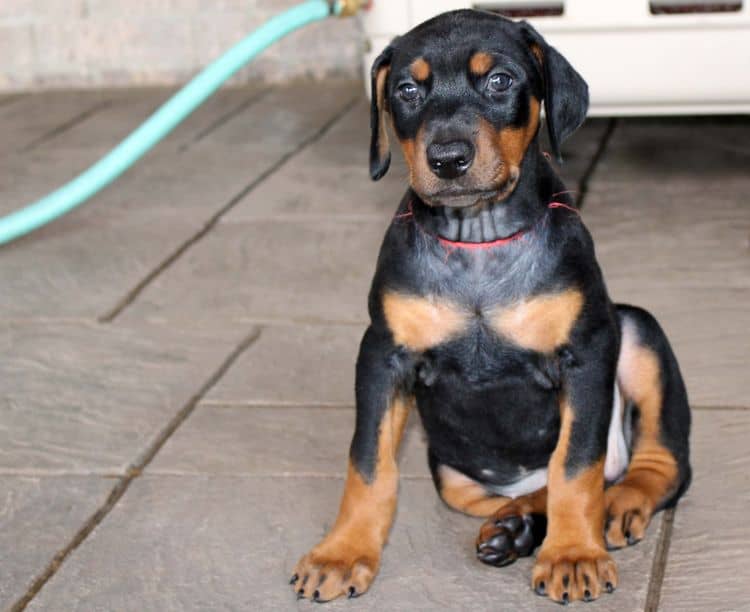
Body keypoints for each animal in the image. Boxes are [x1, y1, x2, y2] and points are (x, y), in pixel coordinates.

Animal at [290, 9, 692, 608]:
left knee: (654, 465)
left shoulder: (587, 350)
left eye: (500, 81)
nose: (448, 159)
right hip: (452, 473)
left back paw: (615, 507)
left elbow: (577, 464)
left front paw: (573, 555)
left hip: (637, 330)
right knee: (525, 489)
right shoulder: (383, 354)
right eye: (407, 90)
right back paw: (516, 525)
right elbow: (368, 462)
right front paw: (341, 553)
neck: (479, 239)